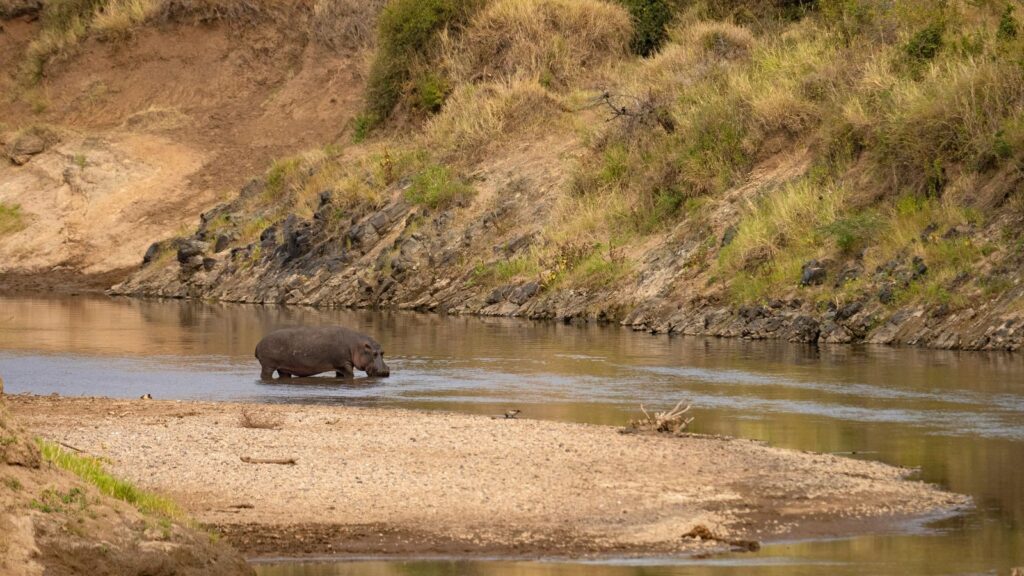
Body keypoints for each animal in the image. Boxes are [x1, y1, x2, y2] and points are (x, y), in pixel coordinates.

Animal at [255, 326, 390, 379]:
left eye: (383, 352)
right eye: (373, 353)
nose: (384, 371)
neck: (357, 345)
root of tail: (258, 344)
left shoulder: (341, 366)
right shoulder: (344, 364)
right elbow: (350, 375)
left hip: (283, 369)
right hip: (268, 366)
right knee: (264, 375)